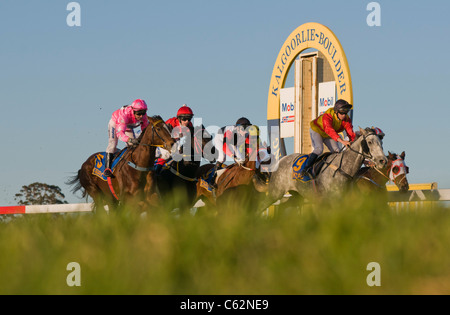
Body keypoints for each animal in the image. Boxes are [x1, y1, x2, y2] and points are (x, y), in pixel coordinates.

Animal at [256, 127, 386, 214]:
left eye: (381, 142)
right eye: (369, 142)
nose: (382, 160)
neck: (343, 169)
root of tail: (281, 160)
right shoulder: (332, 201)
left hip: (297, 195)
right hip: (275, 192)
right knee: (261, 206)